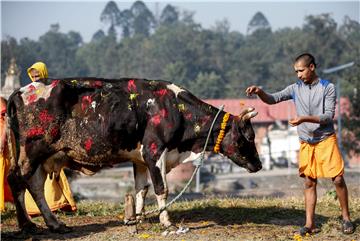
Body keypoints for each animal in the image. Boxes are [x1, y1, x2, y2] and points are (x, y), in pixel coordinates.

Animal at [6, 77, 262, 233]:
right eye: (248, 137)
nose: (259, 165)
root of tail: (20, 91)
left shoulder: (139, 159)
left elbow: (141, 189)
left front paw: (137, 219)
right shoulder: (154, 150)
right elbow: (161, 188)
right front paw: (166, 222)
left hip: (42, 157)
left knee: (35, 187)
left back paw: (54, 224)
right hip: (32, 151)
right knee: (17, 180)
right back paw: (27, 225)